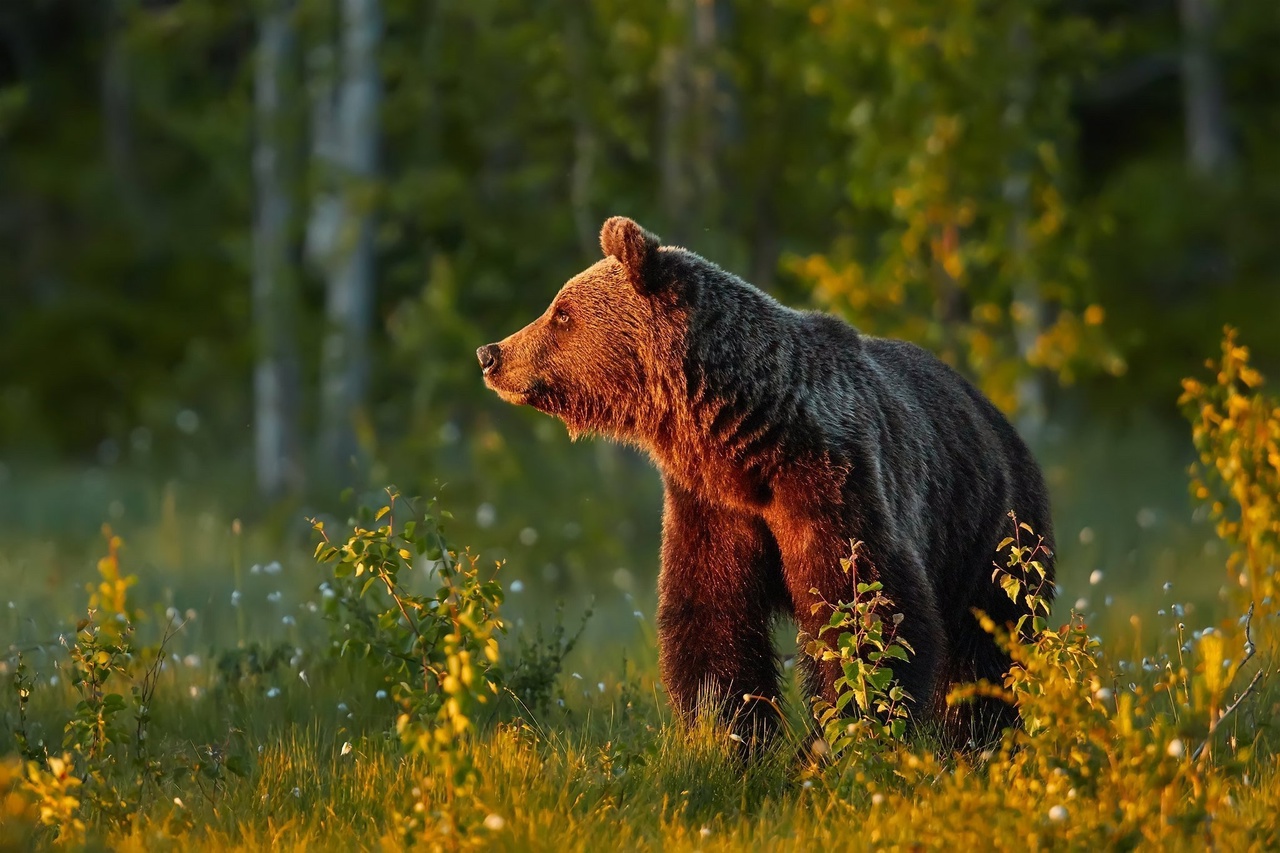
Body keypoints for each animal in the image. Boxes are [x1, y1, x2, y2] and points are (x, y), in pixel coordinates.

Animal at [476, 216, 1054, 742]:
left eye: (561, 314)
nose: (491, 354)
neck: (745, 441)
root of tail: (997, 417)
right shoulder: (711, 503)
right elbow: (711, 616)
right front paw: (727, 732)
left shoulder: (833, 483)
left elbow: (864, 611)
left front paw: (847, 734)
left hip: (992, 531)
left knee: (992, 641)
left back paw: (977, 734)